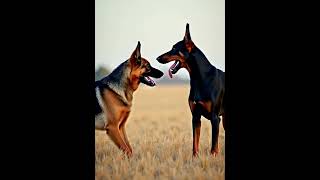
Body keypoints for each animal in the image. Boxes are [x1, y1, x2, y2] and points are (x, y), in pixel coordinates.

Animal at [157, 23, 225, 156]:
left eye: (174, 48)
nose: (158, 58)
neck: (199, 78)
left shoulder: (215, 118)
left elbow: (214, 147)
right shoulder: (195, 117)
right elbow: (195, 144)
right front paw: (195, 159)